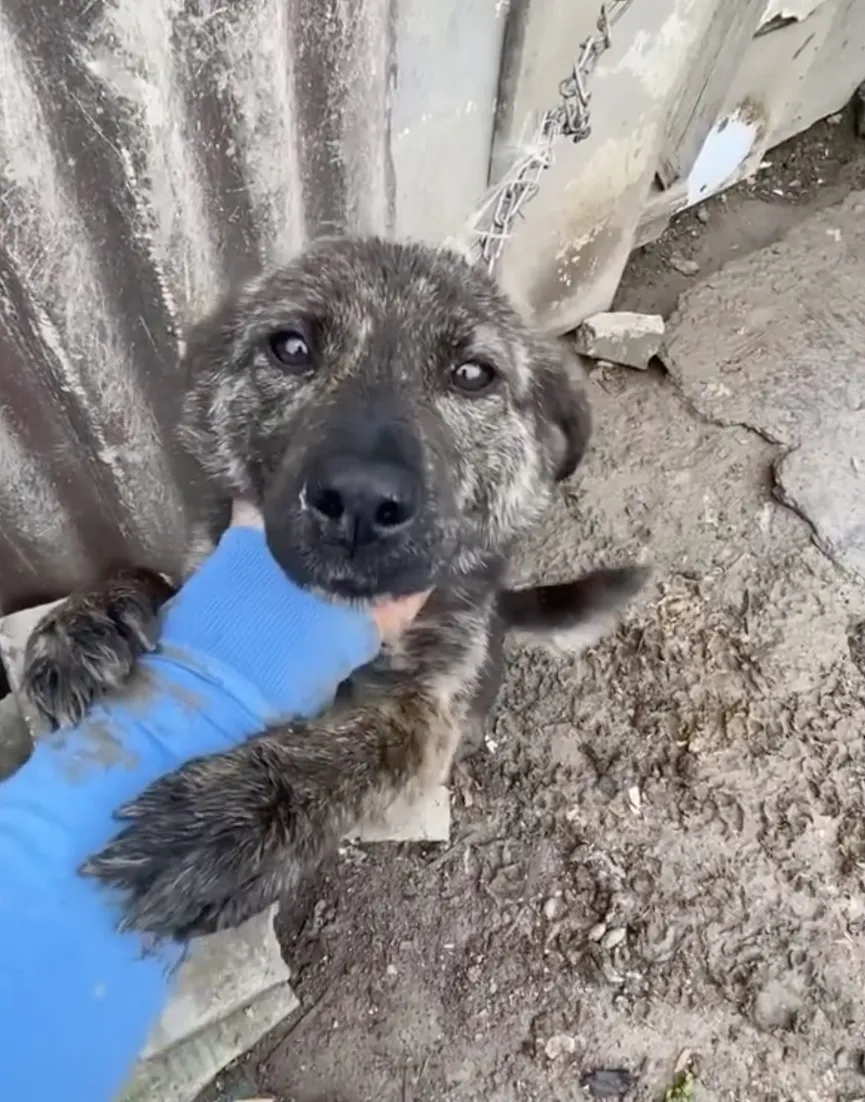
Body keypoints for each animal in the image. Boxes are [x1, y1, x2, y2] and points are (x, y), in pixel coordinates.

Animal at [21, 239, 647, 938]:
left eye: (473, 374)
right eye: (291, 347)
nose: (360, 500)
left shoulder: (428, 709)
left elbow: (368, 747)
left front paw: (244, 815)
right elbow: (153, 577)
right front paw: (84, 623)